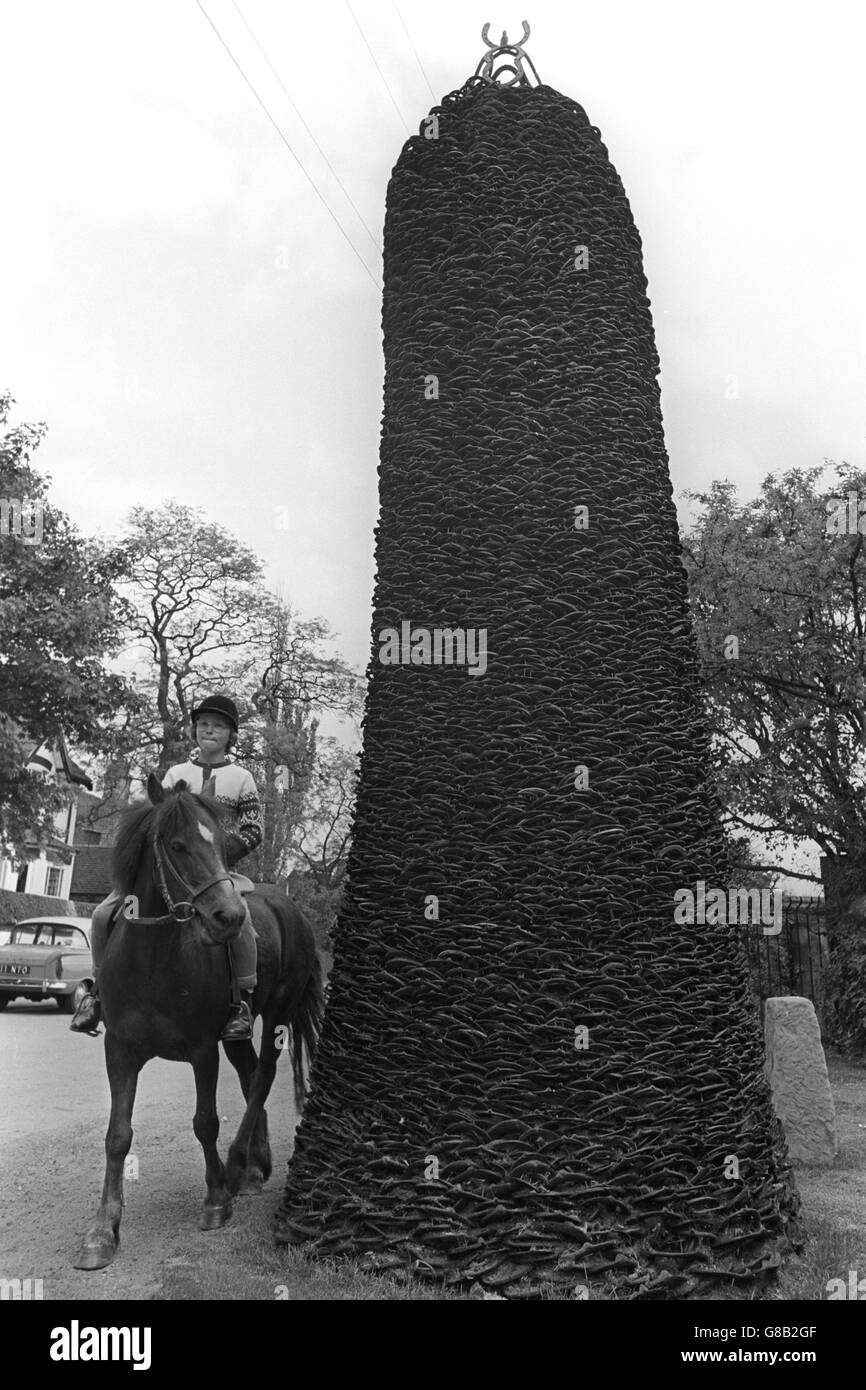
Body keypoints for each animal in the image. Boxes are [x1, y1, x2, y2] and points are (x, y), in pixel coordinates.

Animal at [71, 772, 325, 1273]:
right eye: (176, 844)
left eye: (222, 845)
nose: (230, 917)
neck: (153, 958)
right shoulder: (120, 1051)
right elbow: (117, 1135)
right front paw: (103, 1230)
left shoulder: (202, 1050)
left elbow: (205, 1121)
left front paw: (215, 1200)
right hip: (237, 1035)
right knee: (249, 1075)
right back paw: (253, 1166)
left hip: (278, 1015)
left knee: (262, 1079)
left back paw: (236, 1165)